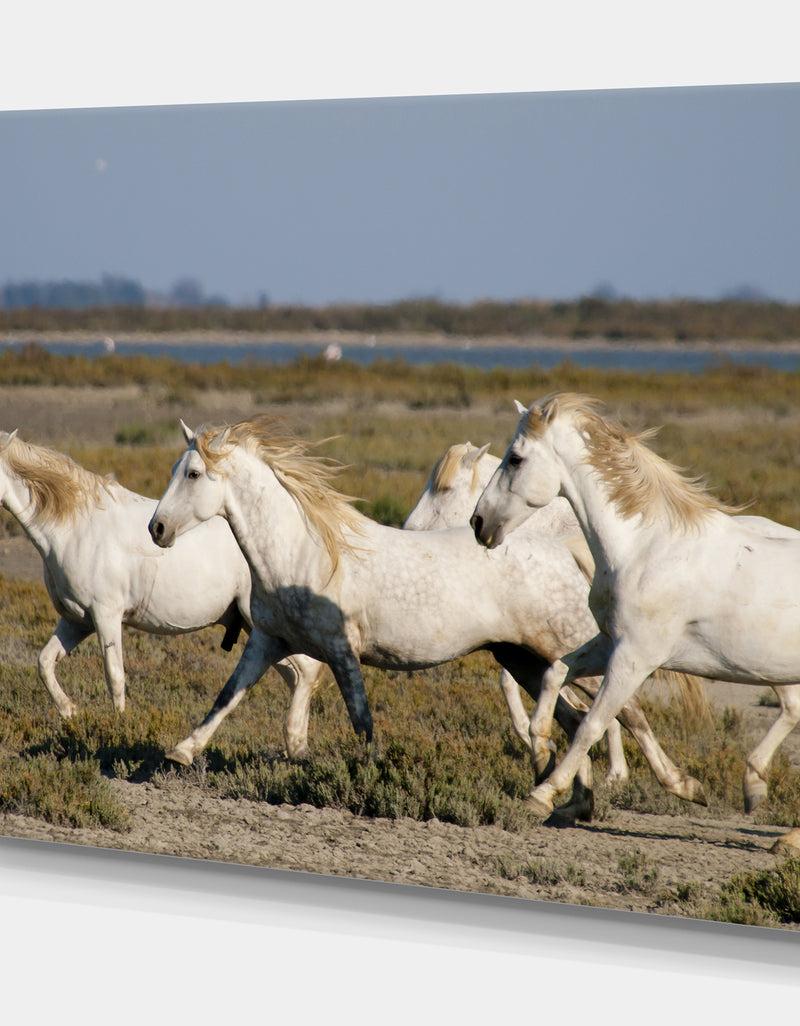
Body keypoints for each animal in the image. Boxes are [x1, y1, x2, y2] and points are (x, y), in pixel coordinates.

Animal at [0, 428, 325, 755]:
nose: (158, 530)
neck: (76, 528)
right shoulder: (77, 621)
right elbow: (44, 663)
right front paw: (70, 712)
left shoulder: (106, 616)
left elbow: (114, 676)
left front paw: (119, 727)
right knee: (298, 674)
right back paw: (296, 745)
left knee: (306, 671)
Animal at [148, 416, 709, 823]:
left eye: (192, 474)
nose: (156, 528)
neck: (304, 553)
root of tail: (565, 551)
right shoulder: (266, 641)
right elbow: (226, 697)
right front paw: (179, 754)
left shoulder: (340, 649)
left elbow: (361, 718)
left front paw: (372, 777)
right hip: (524, 660)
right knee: (573, 721)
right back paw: (569, 802)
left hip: (568, 652)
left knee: (624, 714)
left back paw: (681, 787)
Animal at [472, 393, 800, 826]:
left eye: (515, 458)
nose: (479, 523)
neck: (645, 547)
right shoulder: (610, 642)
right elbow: (556, 672)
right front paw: (541, 747)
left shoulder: (635, 658)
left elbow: (593, 723)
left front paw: (543, 793)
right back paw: (755, 789)